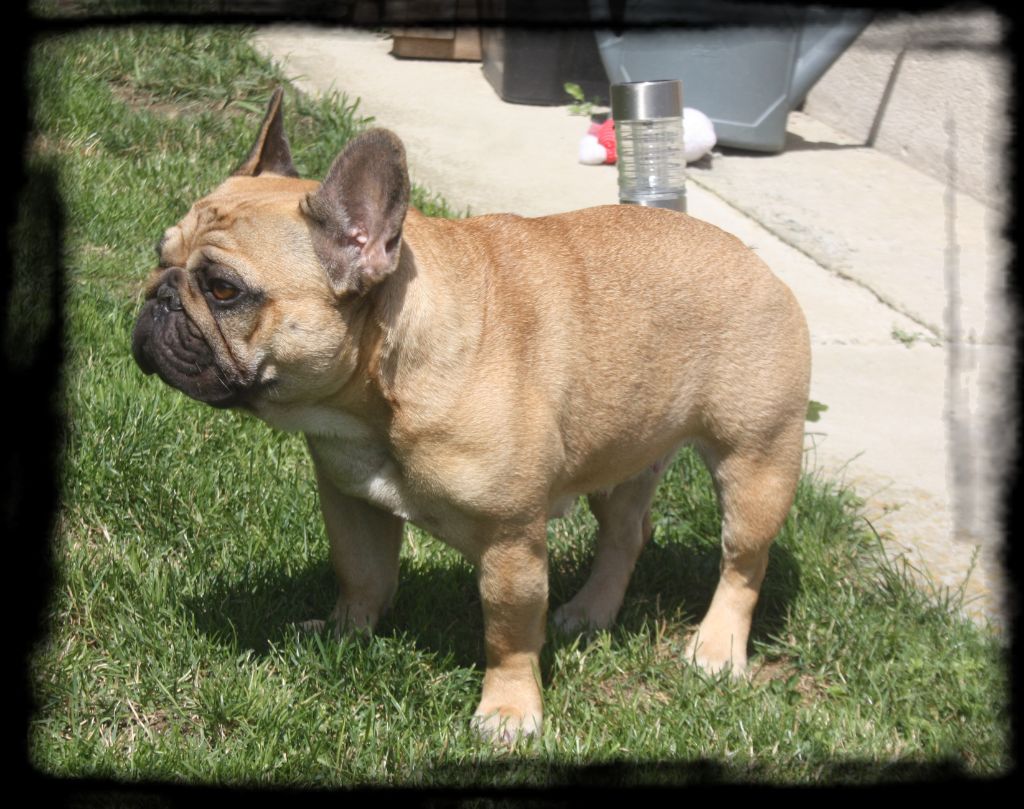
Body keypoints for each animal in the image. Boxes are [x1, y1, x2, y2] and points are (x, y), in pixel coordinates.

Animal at [132, 88, 811, 741]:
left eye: (224, 290)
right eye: (159, 255)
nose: (157, 297)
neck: (378, 398)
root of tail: (754, 258)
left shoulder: (512, 544)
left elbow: (508, 636)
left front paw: (509, 712)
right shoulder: (350, 498)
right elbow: (362, 575)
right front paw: (345, 633)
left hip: (756, 460)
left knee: (742, 562)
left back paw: (716, 649)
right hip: (623, 452)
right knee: (626, 534)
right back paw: (590, 612)